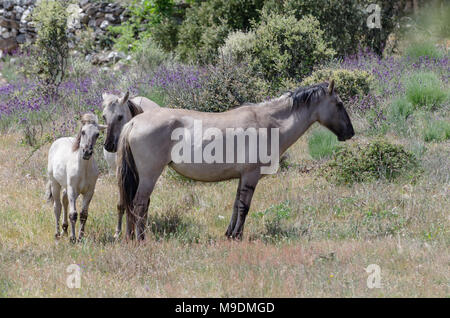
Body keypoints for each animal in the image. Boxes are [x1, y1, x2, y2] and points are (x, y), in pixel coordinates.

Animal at [45, 113, 106, 242]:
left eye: (97, 134)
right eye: (83, 131)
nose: (87, 152)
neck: (84, 169)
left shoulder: (89, 192)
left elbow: (83, 215)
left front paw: (80, 237)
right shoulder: (72, 190)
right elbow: (73, 214)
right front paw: (73, 239)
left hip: (67, 188)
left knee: (64, 200)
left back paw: (64, 229)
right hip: (55, 183)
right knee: (57, 206)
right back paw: (57, 233)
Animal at [101, 90, 161, 237]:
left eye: (120, 117)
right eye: (104, 117)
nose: (109, 145)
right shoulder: (119, 174)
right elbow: (121, 204)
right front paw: (118, 232)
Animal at [117, 81, 356, 241]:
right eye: (339, 104)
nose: (350, 133)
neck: (269, 123)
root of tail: (134, 123)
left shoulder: (243, 177)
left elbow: (235, 205)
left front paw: (230, 234)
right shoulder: (251, 175)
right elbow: (244, 207)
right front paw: (238, 236)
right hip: (149, 176)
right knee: (139, 204)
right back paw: (141, 239)